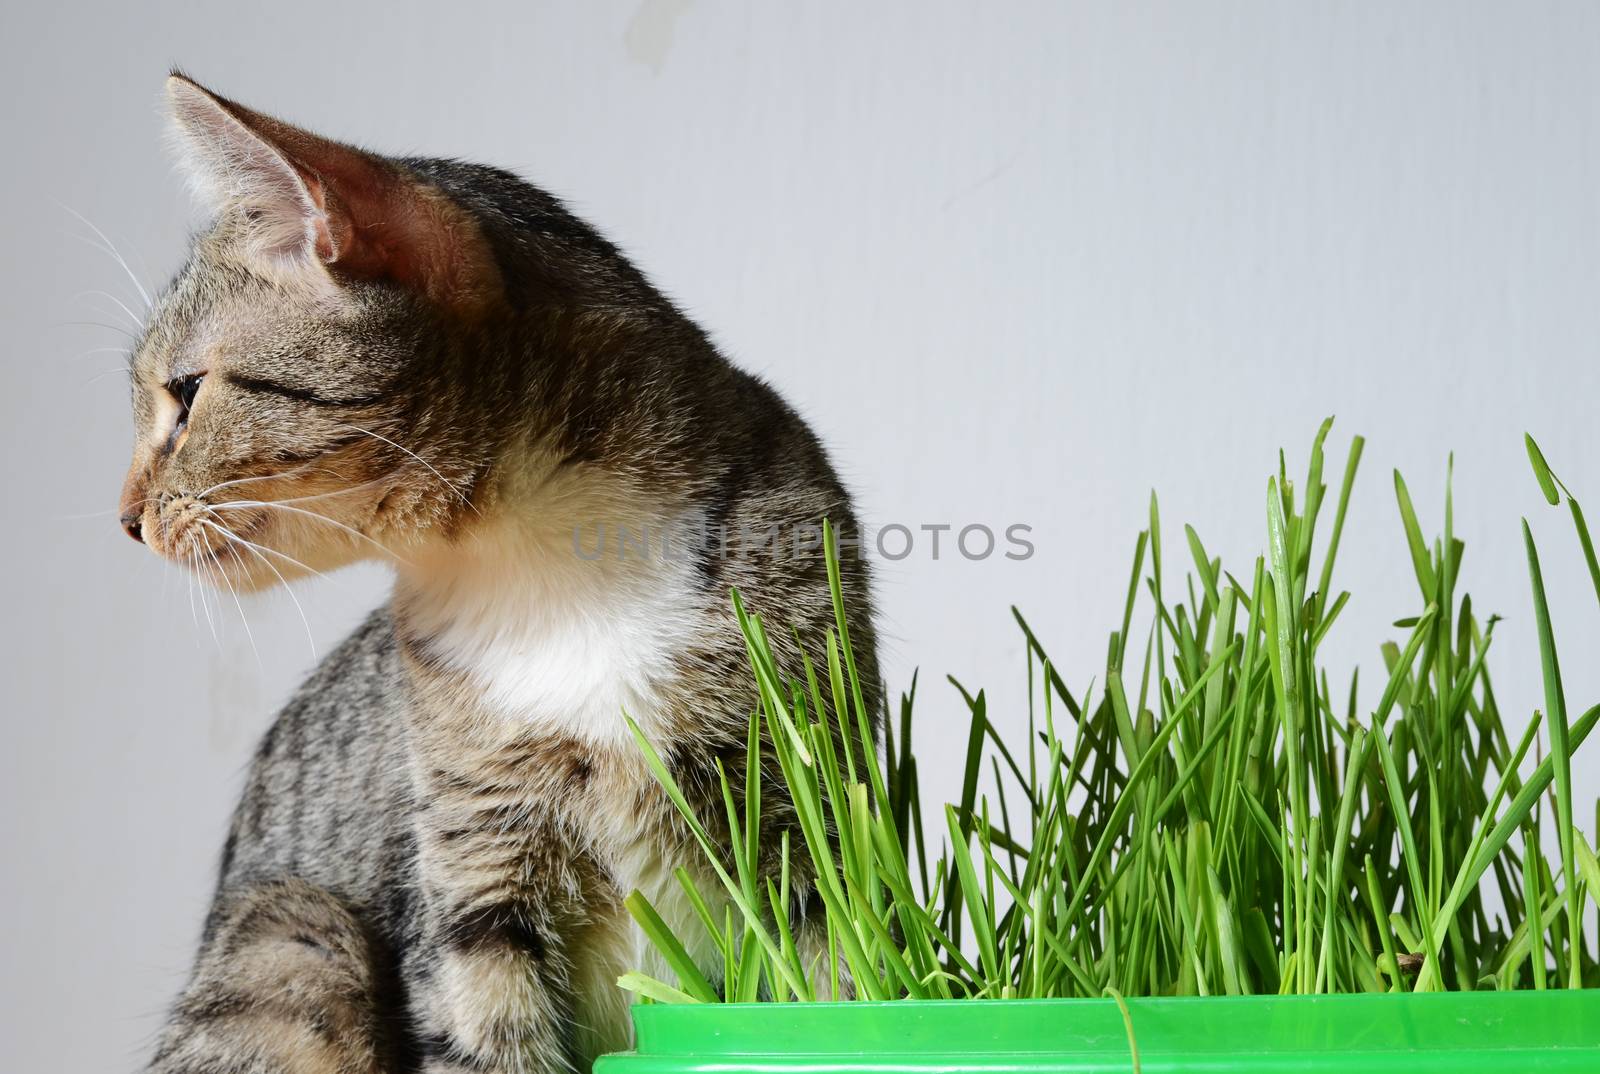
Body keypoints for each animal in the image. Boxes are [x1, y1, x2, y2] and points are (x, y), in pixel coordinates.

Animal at [118, 75, 883, 1074]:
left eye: (186, 395)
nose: (125, 519)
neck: (554, 583)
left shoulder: (810, 822)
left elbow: (836, 990)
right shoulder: (471, 872)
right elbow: (485, 1032)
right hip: (296, 937)